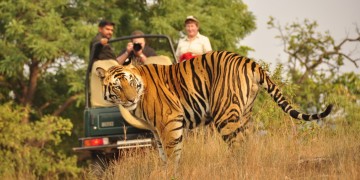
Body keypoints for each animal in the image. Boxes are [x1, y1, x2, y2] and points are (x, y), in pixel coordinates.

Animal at [95, 50, 332, 165]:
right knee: (247, 143)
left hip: (225, 115)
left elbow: (172, 155)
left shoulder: (169, 122)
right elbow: (163, 155)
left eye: (130, 82)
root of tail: (249, 61)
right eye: (117, 86)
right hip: (244, 114)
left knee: (237, 146)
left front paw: (172, 172)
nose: (130, 99)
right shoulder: (156, 130)